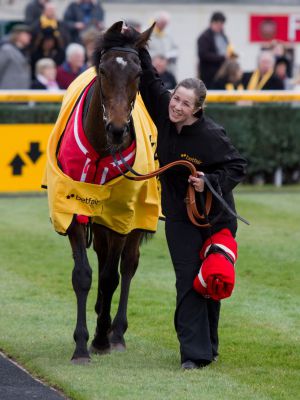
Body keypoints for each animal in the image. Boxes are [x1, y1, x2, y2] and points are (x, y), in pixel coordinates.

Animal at [45, 21, 157, 364]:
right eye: (104, 70)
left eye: (138, 72)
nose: (118, 129)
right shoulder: (72, 206)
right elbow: (83, 274)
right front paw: (82, 345)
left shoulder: (121, 213)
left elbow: (111, 276)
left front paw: (101, 338)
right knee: (103, 253)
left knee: (128, 264)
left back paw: (115, 331)